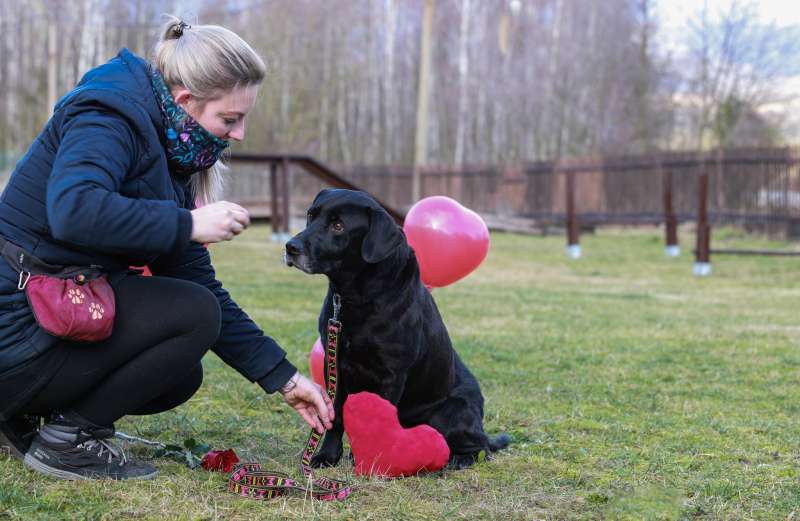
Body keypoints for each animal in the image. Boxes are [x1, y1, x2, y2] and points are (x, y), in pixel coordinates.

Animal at [284, 189, 510, 469]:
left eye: (338, 226)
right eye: (310, 215)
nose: (290, 247)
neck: (357, 295)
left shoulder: (392, 373)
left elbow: (380, 419)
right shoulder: (333, 363)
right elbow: (335, 417)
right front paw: (328, 455)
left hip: (450, 412)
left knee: (480, 448)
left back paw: (457, 459)